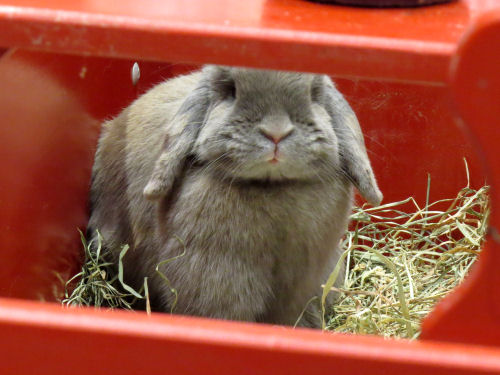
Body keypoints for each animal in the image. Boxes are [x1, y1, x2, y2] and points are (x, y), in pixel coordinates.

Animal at [87, 66, 382, 328]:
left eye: (313, 94)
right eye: (231, 90)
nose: (276, 132)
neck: (270, 187)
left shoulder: (304, 285)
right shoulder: (215, 277)